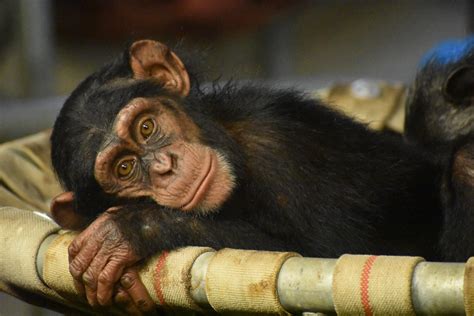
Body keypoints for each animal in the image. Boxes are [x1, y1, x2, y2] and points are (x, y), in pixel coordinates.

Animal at [49, 39, 466, 308]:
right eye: (124, 168)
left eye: (146, 127)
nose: (166, 167)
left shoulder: (281, 141)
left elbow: (334, 256)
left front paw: (130, 229)